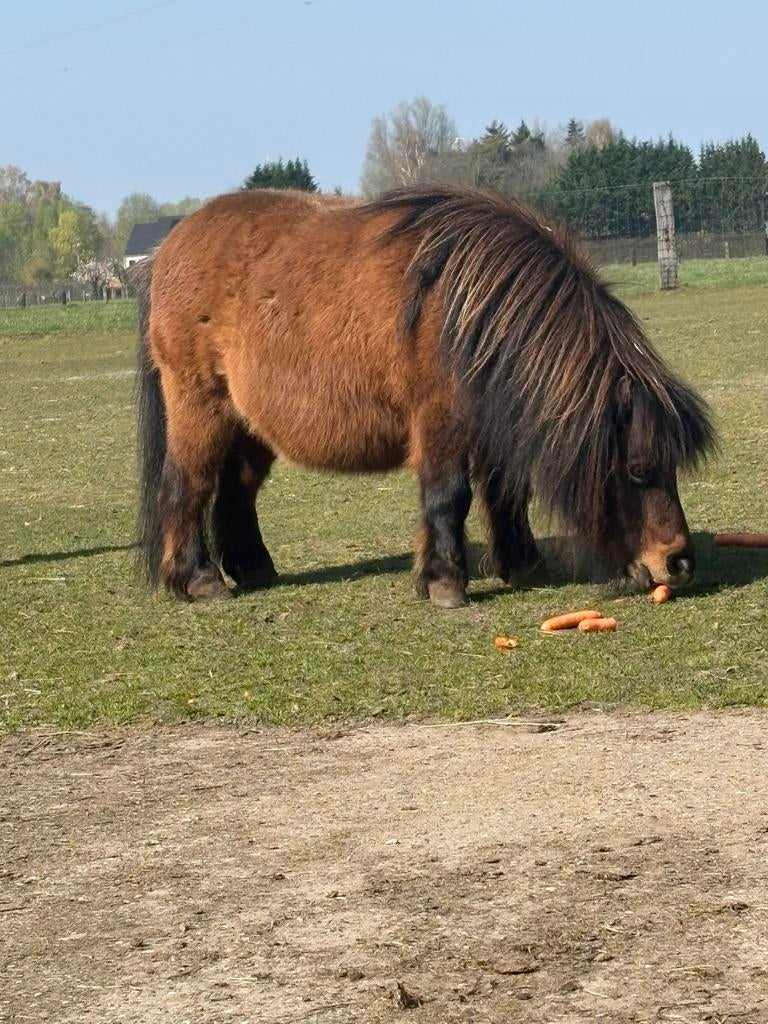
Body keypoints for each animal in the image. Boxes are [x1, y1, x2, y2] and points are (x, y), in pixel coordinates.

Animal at [133, 185, 715, 608]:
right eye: (637, 469)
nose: (680, 564)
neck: (469, 310)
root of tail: (167, 249)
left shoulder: (493, 420)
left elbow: (507, 492)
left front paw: (521, 564)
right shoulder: (442, 420)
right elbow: (448, 495)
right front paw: (445, 583)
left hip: (248, 423)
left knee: (238, 491)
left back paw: (253, 568)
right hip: (199, 406)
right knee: (187, 483)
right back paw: (200, 580)